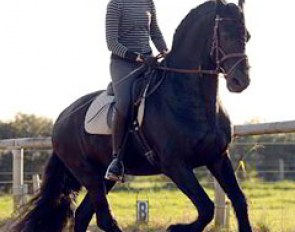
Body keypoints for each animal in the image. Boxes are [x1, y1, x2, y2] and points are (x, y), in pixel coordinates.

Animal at [14, 0, 252, 232]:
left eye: (247, 36)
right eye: (226, 35)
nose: (241, 81)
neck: (189, 97)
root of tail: (61, 119)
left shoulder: (218, 157)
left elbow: (239, 201)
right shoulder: (175, 165)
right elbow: (206, 207)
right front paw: (175, 228)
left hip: (103, 177)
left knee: (83, 215)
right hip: (88, 174)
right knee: (104, 219)